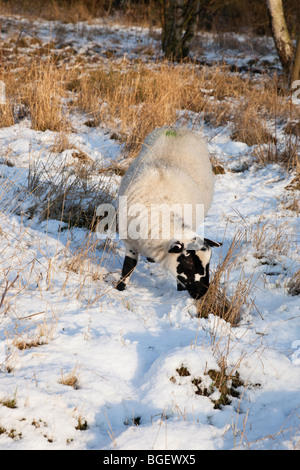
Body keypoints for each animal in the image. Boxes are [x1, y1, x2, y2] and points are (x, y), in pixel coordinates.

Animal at [116, 126, 221, 300]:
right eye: (189, 263)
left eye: (209, 263)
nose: (202, 293)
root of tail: (178, 128)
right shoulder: (130, 242)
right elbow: (128, 267)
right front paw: (118, 289)